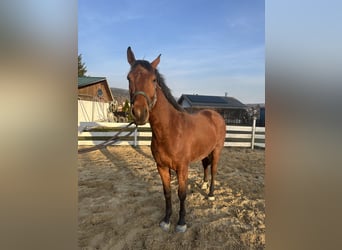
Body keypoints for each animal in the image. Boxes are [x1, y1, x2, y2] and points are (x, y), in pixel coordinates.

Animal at [127, 47, 226, 232]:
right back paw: (203, 185)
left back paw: (210, 194)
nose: (140, 113)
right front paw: (166, 220)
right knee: (206, 166)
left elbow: (182, 194)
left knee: (214, 170)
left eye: (153, 80)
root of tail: (215, 114)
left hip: (217, 150)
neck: (170, 130)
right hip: (205, 151)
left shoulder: (182, 168)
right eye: (128, 78)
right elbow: (167, 193)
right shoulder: (161, 167)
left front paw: (181, 222)